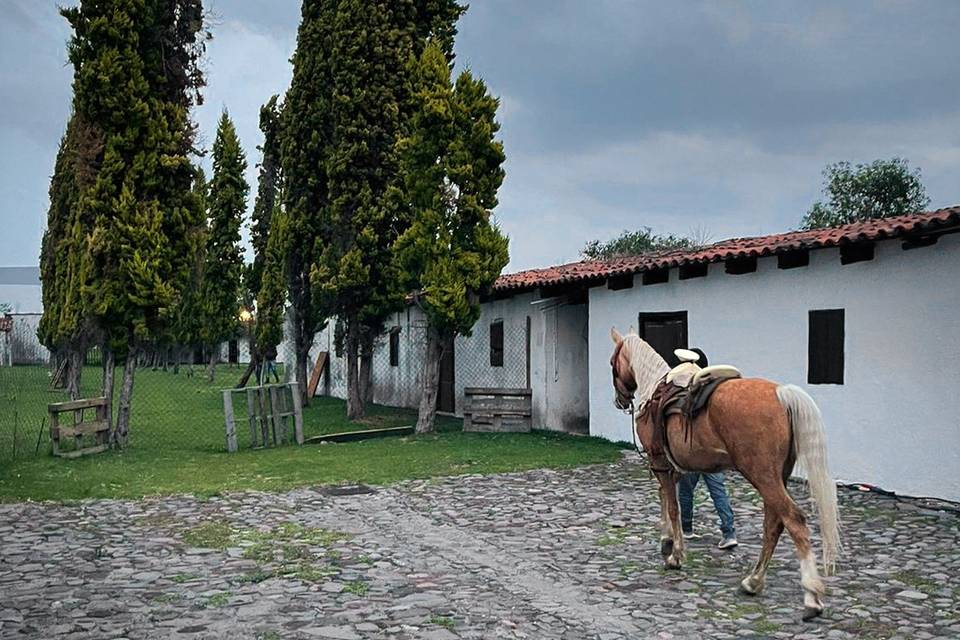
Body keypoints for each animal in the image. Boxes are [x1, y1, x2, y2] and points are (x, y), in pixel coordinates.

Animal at [608, 328, 840, 616]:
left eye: (612, 362)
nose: (619, 400)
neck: (655, 390)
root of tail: (781, 393)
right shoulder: (673, 469)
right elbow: (667, 500)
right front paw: (667, 543)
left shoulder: (659, 462)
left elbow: (672, 507)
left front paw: (675, 556)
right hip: (777, 478)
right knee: (773, 524)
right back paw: (753, 581)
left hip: (763, 477)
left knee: (793, 520)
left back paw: (811, 595)